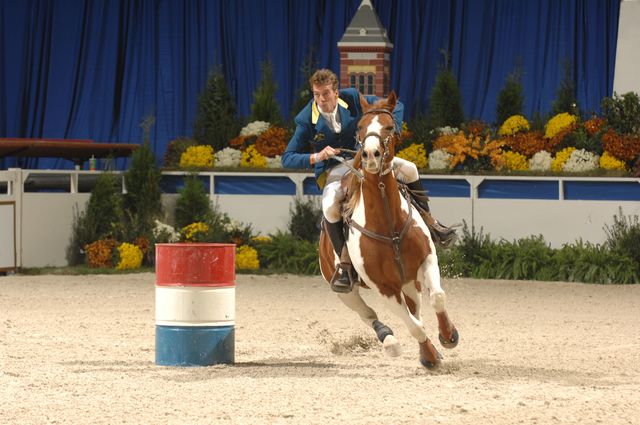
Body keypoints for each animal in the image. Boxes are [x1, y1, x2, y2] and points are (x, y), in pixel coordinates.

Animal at [318, 90, 458, 368]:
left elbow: (437, 297)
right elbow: (413, 326)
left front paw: (448, 335)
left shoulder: (426, 260)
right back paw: (390, 340)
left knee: (415, 309)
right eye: (360, 128)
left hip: (409, 281)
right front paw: (429, 356)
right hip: (345, 291)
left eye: (389, 127)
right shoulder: (384, 288)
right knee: (369, 314)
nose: (370, 154)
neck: (388, 221)